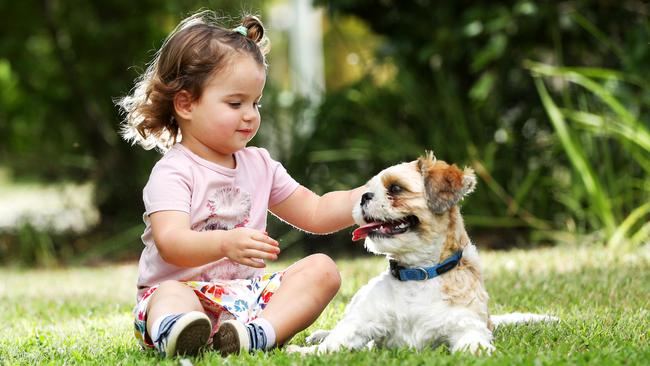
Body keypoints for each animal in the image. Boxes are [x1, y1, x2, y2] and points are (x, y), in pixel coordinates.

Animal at [286, 152, 556, 354]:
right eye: (367, 189)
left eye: (395, 188)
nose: (363, 196)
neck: (418, 273)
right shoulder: (364, 321)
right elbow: (336, 341)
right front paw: (304, 352)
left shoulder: (467, 326)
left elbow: (474, 344)